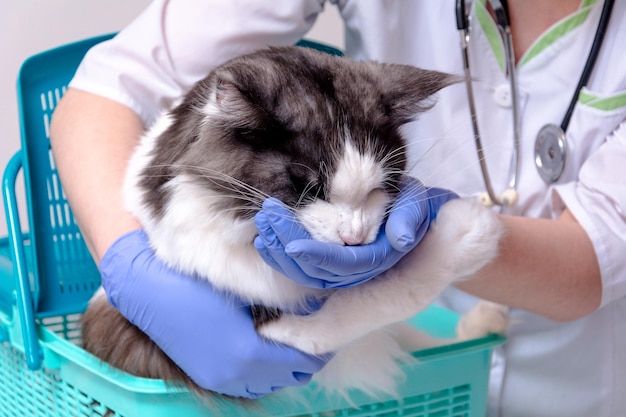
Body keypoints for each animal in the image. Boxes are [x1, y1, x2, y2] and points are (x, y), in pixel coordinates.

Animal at [80, 44, 508, 404]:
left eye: (379, 187)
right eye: (308, 187)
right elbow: (386, 295)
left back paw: (485, 323)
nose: (354, 238)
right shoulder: (271, 329)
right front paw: (467, 230)